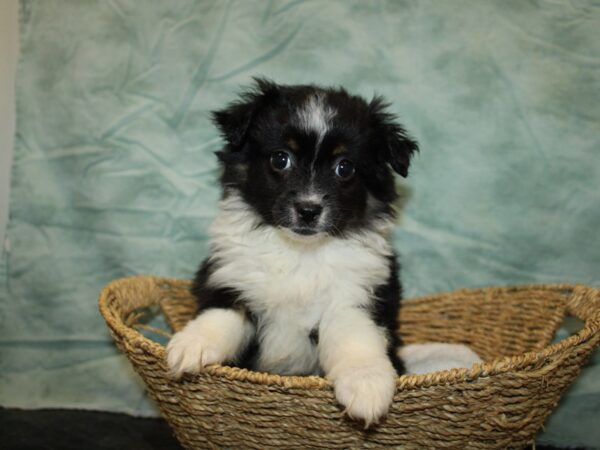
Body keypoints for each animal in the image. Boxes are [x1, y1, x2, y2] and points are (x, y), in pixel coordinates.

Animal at [165, 79, 418, 428]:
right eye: (280, 159)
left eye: (345, 167)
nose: (308, 210)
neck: (300, 251)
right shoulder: (232, 277)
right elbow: (220, 314)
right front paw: (191, 345)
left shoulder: (355, 294)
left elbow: (356, 337)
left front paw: (367, 385)